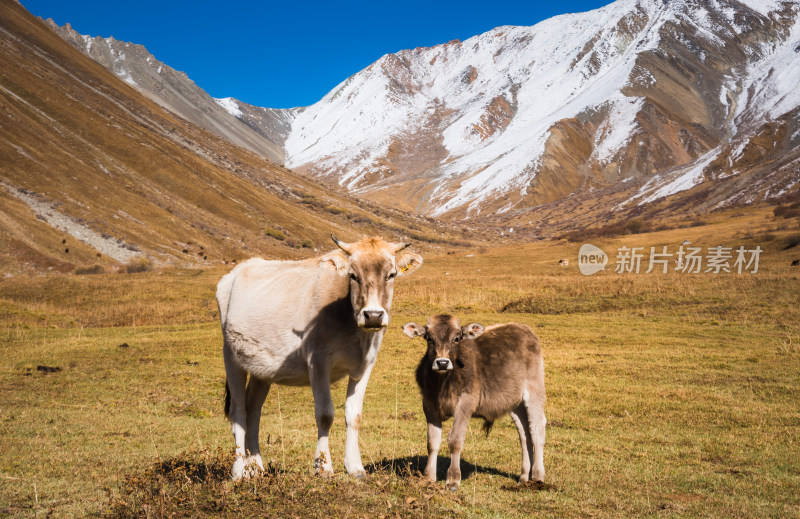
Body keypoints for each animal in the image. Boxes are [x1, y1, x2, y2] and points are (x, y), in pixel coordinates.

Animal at [216, 238, 422, 482]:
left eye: (391, 274)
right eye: (352, 275)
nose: (373, 315)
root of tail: (237, 271)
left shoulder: (365, 365)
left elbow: (354, 415)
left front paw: (355, 467)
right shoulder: (318, 362)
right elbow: (325, 414)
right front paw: (323, 467)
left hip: (261, 368)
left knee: (253, 410)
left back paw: (255, 466)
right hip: (231, 356)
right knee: (238, 411)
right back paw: (239, 470)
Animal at [404, 316, 548, 492]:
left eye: (457, 338)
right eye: (429, 338)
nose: (442, 363)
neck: (442, 384)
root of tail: (522, 327)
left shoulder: (465, 404)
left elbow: (455, 441)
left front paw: (453, 480)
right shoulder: (429, 405)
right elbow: (432, 442)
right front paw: (429, 478)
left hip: (534, 390)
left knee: (537, 429)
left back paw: (537, 476)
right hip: (515, 403)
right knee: (524, 433)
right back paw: (524, 477)